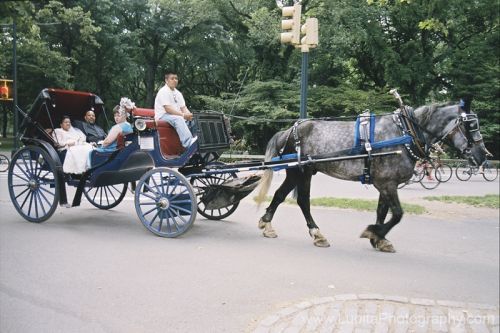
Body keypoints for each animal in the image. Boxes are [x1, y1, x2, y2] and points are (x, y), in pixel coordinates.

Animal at [256, 104, 486, 252]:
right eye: (471, 126)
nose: (483, 156)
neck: (405, 133)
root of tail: (289, 130)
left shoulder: (386, 183)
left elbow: (383, 211)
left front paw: (379, 238)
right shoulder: (387, 183)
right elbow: (397, 214)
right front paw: (373, 232)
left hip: (304, 172)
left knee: (291, 198)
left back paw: (303, 231)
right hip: (299, 172)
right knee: (292, 198)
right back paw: (278, 227)